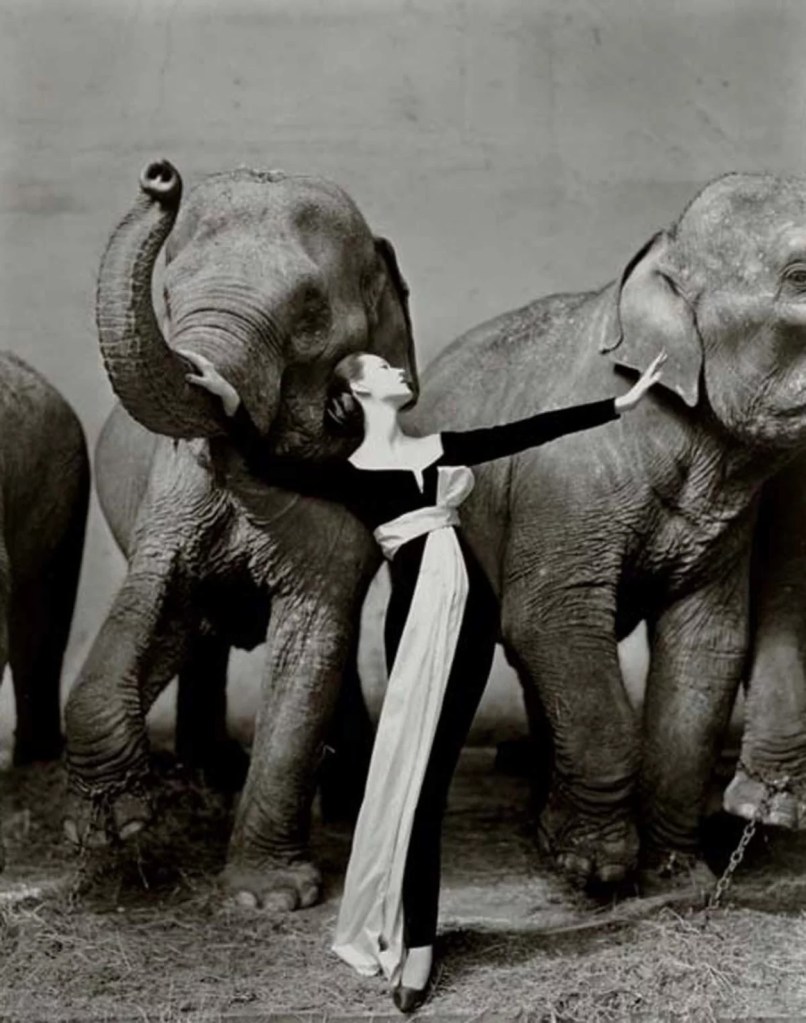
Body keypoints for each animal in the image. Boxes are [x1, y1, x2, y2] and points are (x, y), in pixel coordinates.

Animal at [62, 159, 417, 909]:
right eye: (168, 295)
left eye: (310, 312)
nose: (161, 177)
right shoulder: (172, 494)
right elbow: (156, 598)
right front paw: (113, 828)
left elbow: (312, 636)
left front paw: (264, 899)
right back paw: (212, 773)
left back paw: (340, 797)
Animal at [400, 172, 806, 891]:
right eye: (802, 277)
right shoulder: (566, 480)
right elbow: (550, 617)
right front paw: (595, 867)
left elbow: (706, 642)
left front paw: (678, 874)